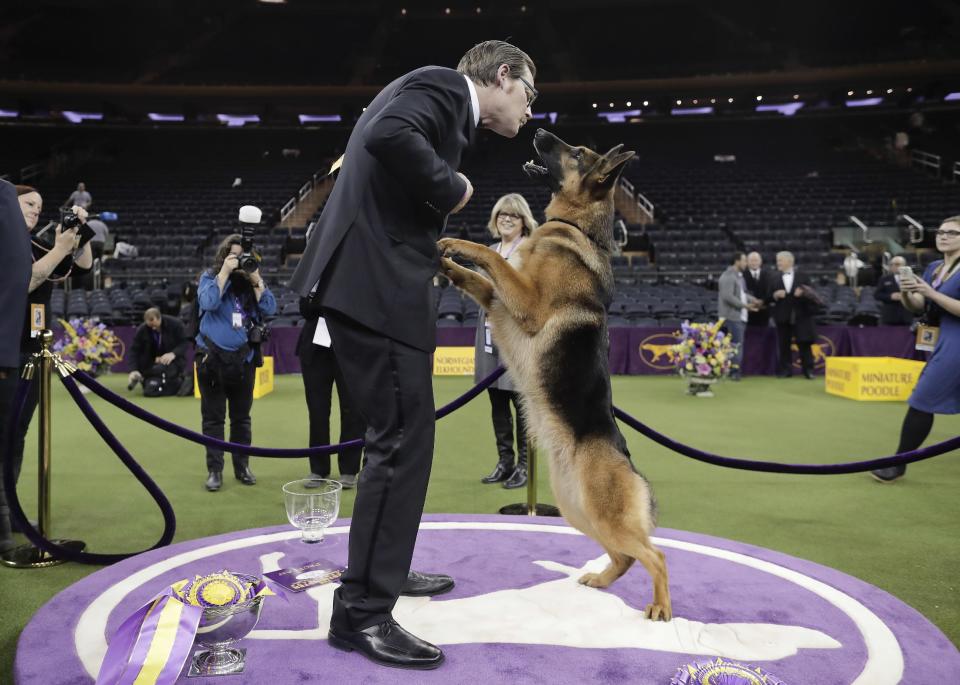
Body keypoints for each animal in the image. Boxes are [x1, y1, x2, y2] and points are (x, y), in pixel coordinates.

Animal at [438, 127, 672, 620]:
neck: (576, 228)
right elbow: (478, 277)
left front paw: (459, 247)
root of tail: (628, 462)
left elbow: (493, 258)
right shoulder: (497, 301)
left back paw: (660, 608)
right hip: (578, 510)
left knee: (655, 555)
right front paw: (443, 260)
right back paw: (599, 580)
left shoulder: (524, 301)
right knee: (625, 557)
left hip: (604, 515)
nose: (539, 129)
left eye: (577, 152)